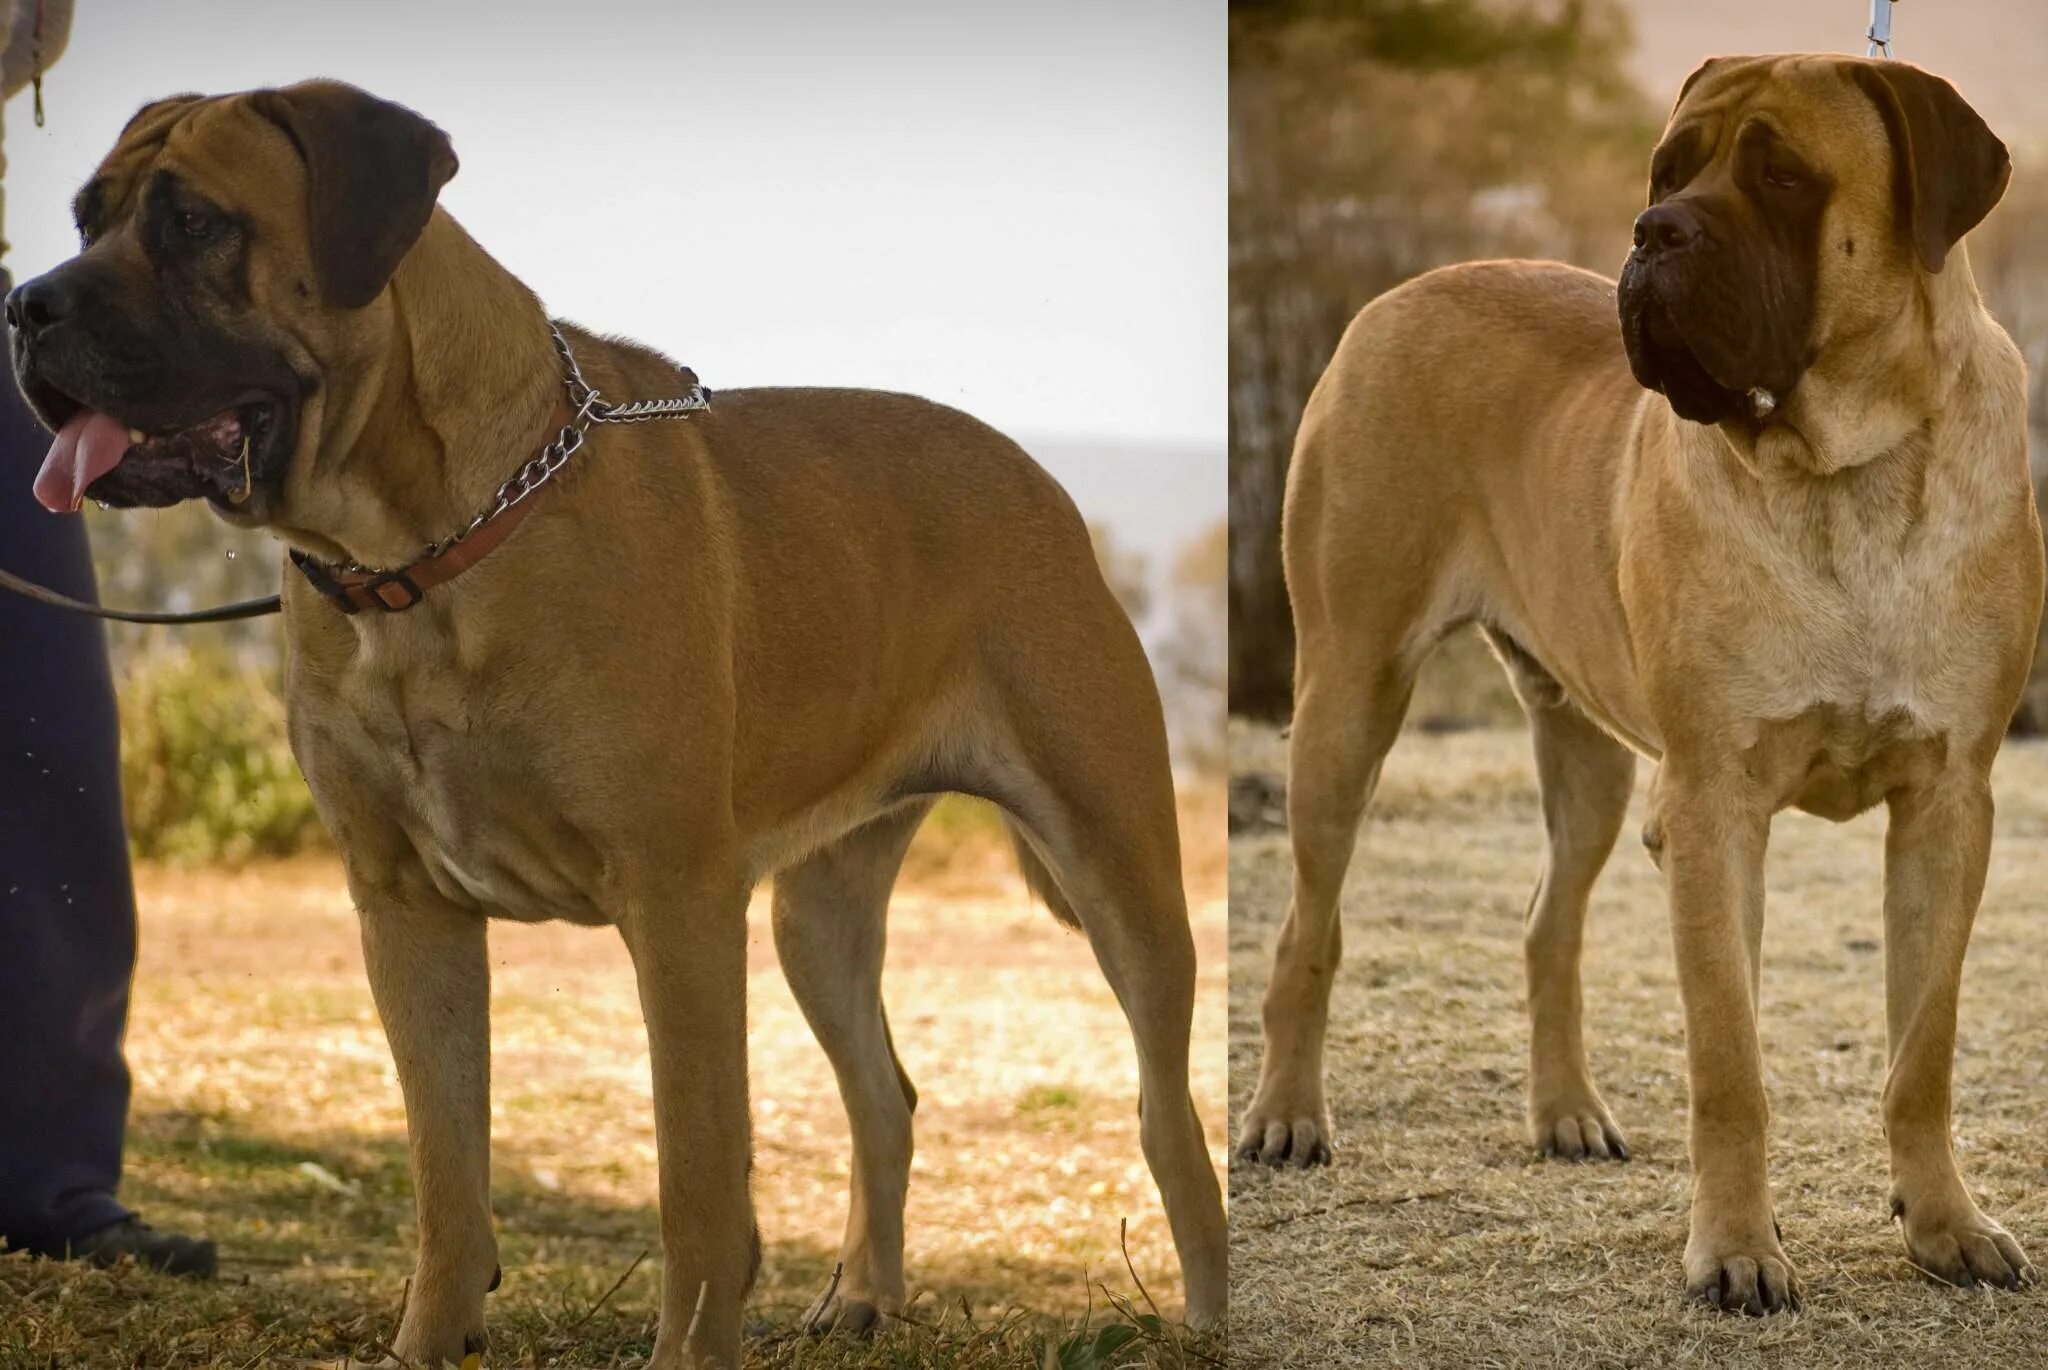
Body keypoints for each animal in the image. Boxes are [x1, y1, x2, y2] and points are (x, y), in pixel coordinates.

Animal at [8, 82, 1220, 1359]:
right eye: (87, 217)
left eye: (194, 223)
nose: (25, 306)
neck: (417, 556)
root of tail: (1038, 481)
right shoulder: (407, 911)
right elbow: (447, 1178)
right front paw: (428, 1339)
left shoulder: (676, 900)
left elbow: (695, 1178)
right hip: (817, 915)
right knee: (883, 1092)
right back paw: (862, 1295)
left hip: (1113, 865)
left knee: (1165, 1110)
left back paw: (1201, 1307)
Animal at [1236, 56, 2039, 1310]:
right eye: (1666, 172)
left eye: (1781, 175)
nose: (1650, 232)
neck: (1846, 472)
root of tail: (1398, 290)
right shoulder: (1709, 804)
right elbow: (1728, 1060)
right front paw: (1737, 1251)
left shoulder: (1947, 801)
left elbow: (1922, 1045)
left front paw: (1944, 1222)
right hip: (1346, 698)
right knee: (1304, 928)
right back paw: (1284, 1116)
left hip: (1590, 757)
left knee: (1544, 924)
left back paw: (1565, 1112)